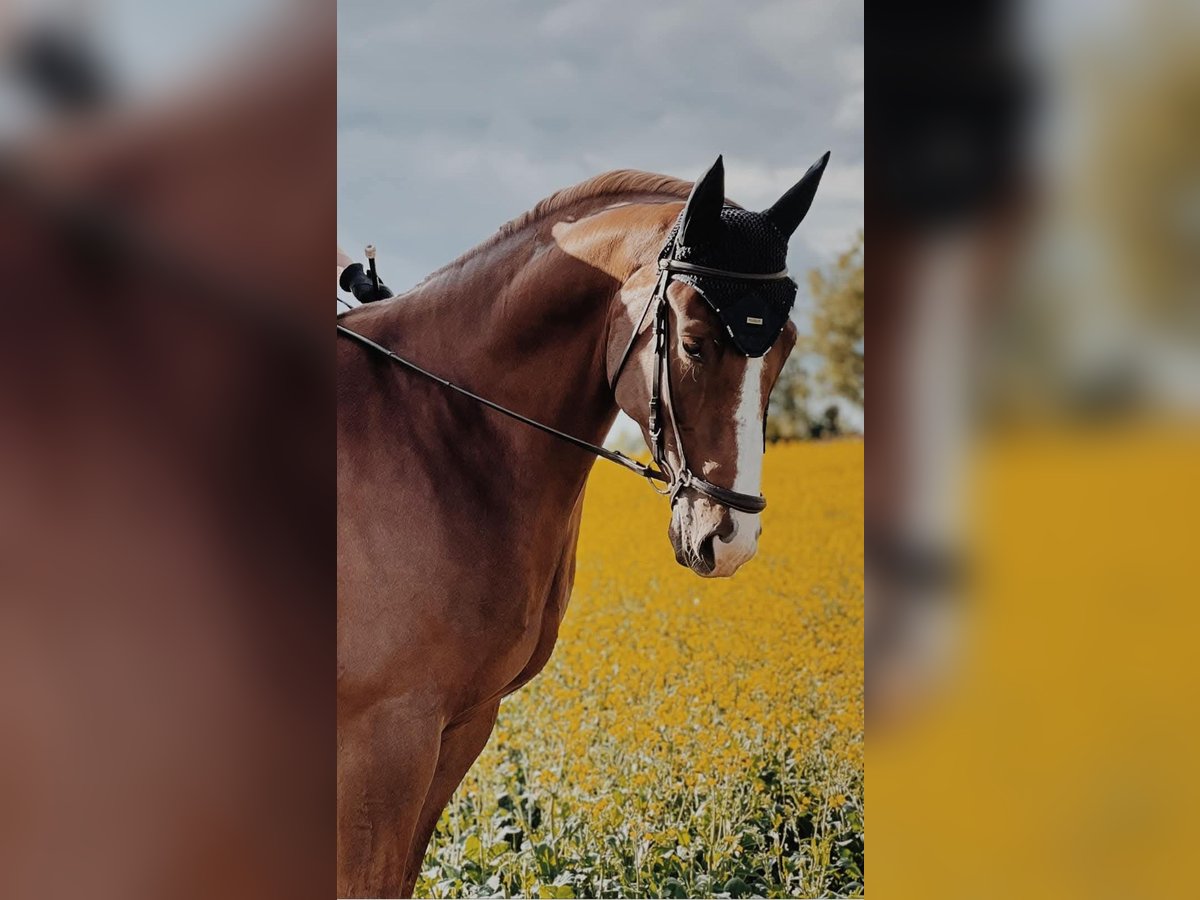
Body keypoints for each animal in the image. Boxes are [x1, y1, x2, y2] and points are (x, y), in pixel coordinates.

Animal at [336, 158, 825, 897]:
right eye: (693, 343)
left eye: (785, 346)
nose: (729, 539)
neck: (438, 434)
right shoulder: (385, 736)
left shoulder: (462, 724)